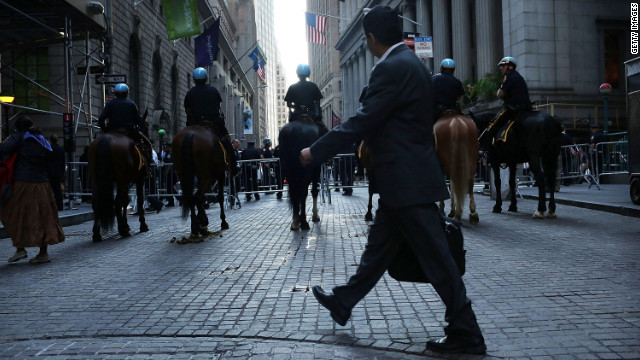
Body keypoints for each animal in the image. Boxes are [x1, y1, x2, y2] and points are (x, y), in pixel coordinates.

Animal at [89, 112, 151, 242]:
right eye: (147, 126)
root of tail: (107, 139)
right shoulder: (139, 180)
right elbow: (138, 200)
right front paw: (141, 225)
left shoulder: (125, 182)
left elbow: (126, 201)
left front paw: (126, 224)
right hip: (122, 180)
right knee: (117, 202)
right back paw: (122, 231)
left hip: (95, 179)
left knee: (96, 201)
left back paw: (97, 233)